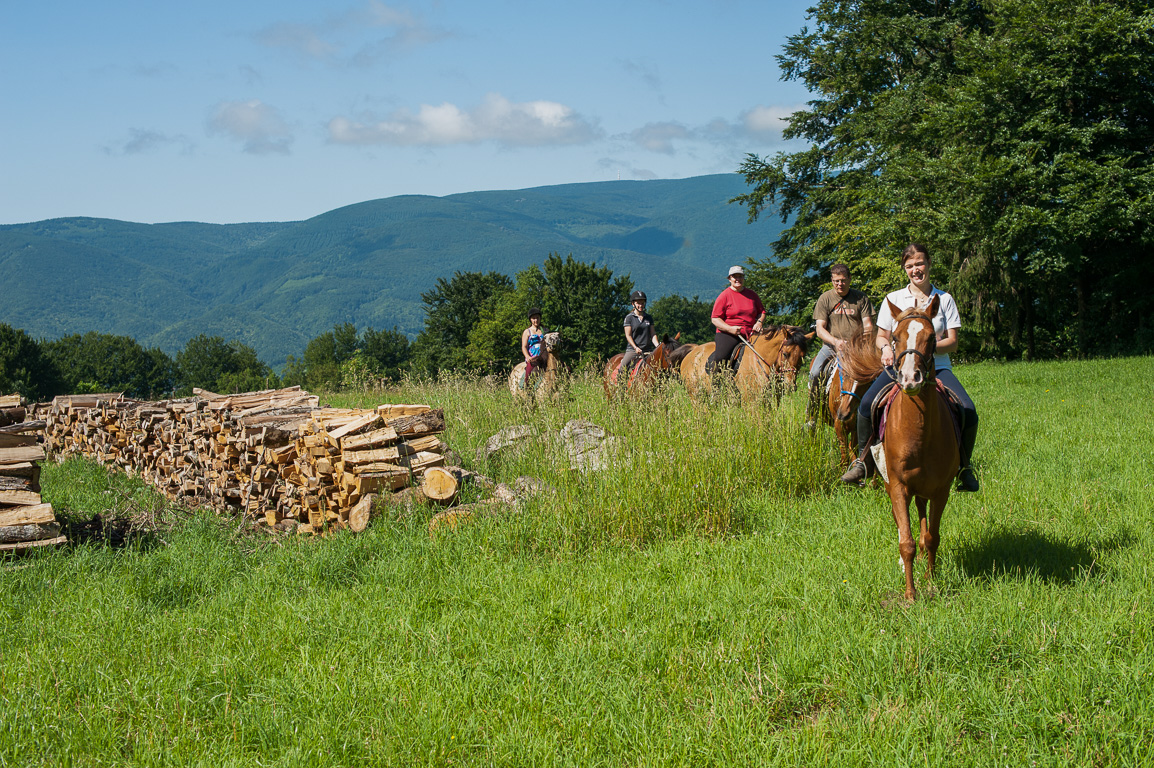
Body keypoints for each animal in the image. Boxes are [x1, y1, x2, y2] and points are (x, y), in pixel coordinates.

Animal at [678, 325, 817, 403]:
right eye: (785, 354)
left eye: (802, 355)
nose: (790, 385)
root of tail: (692, 352)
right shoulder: (750, 399)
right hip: (696, 396)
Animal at [853, 295, 960, 599]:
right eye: (895, 337)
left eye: (931, 337)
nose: (911, 378)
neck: (919, 434)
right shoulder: (899, 487)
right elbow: (906, 542)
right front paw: (910, 595)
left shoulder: (941, 490)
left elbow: (931, 537)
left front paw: (931, 582)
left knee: (922, 521)